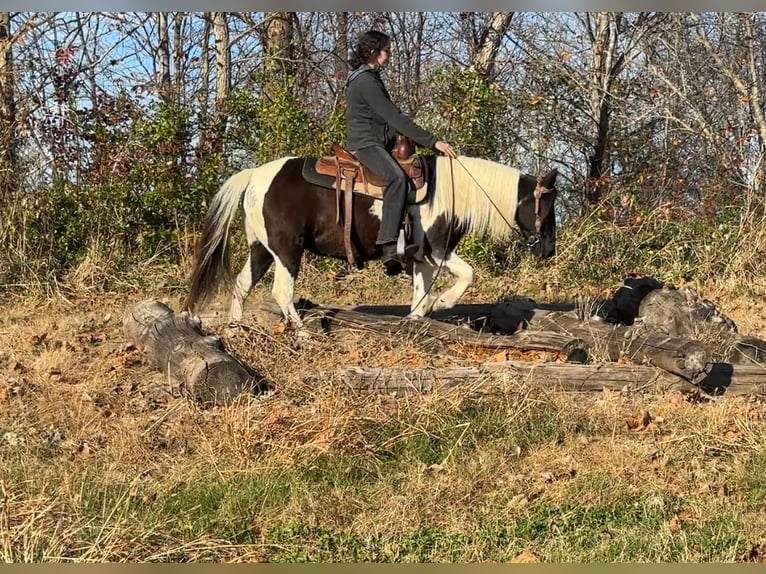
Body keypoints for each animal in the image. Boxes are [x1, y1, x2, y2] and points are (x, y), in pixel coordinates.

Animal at [182, 152, 558, 331]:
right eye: (547, 204)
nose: (548, 249)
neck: (449, 192)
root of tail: (254, 176)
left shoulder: (421, 259)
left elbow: (419, 298)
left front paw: (418, 319)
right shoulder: (438, 252)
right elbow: (467, 275)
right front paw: (443, 303)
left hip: (261, 250)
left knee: (241, 285)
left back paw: (235, 329)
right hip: (287, 250)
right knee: (282, 292)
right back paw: (303, 333)